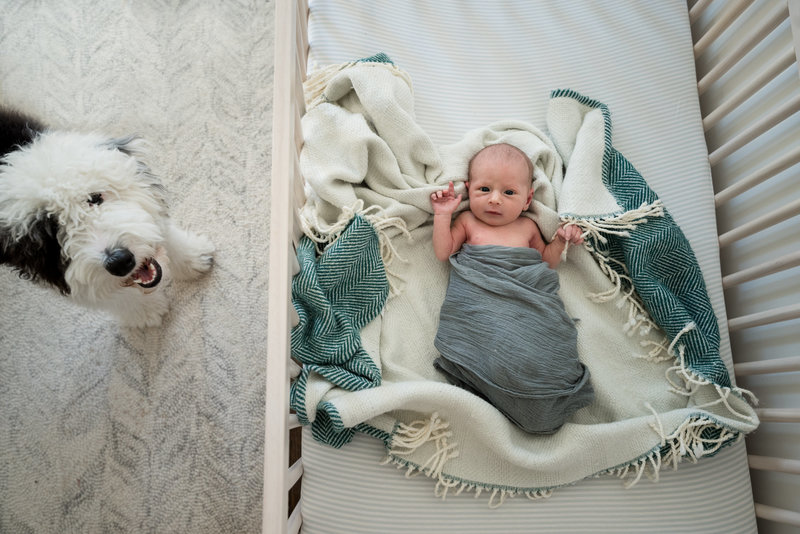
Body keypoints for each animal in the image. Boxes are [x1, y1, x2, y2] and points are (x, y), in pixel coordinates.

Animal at [0, 108, 214, 326]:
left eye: (95, 198)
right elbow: (102, 297)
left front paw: (191, 258)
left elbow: (160, 224)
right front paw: (145, 311)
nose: (118, 261)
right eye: (51, 235)